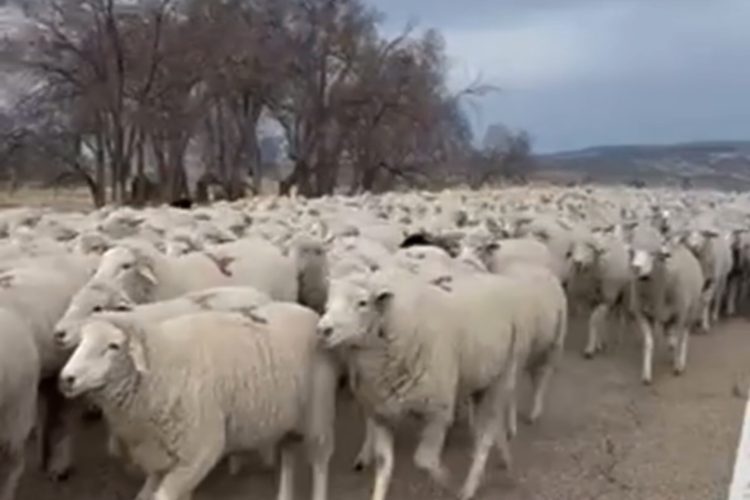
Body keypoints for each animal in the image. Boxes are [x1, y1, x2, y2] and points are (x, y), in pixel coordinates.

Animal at [59, 305, 339, 500]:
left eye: (113, 346)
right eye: (81, 341)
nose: (67, 379)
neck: (162, 363)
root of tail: (307, 312)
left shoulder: (199, 453)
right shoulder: (160, 458)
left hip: (319, 413)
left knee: (320, 462)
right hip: (286, 418)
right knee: (288, 456)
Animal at [317, 266, 558, 500]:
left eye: (362, 303)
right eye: (327, 303)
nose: (322, 330)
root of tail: (498, 279)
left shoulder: (438, 411)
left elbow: (424, 459)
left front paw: (446, 479)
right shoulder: (381, 413)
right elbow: (384, 465)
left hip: (504, 376)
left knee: (487, 434)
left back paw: (469, 486)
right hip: (481, 378)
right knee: (488, 428)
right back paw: (504, 459)